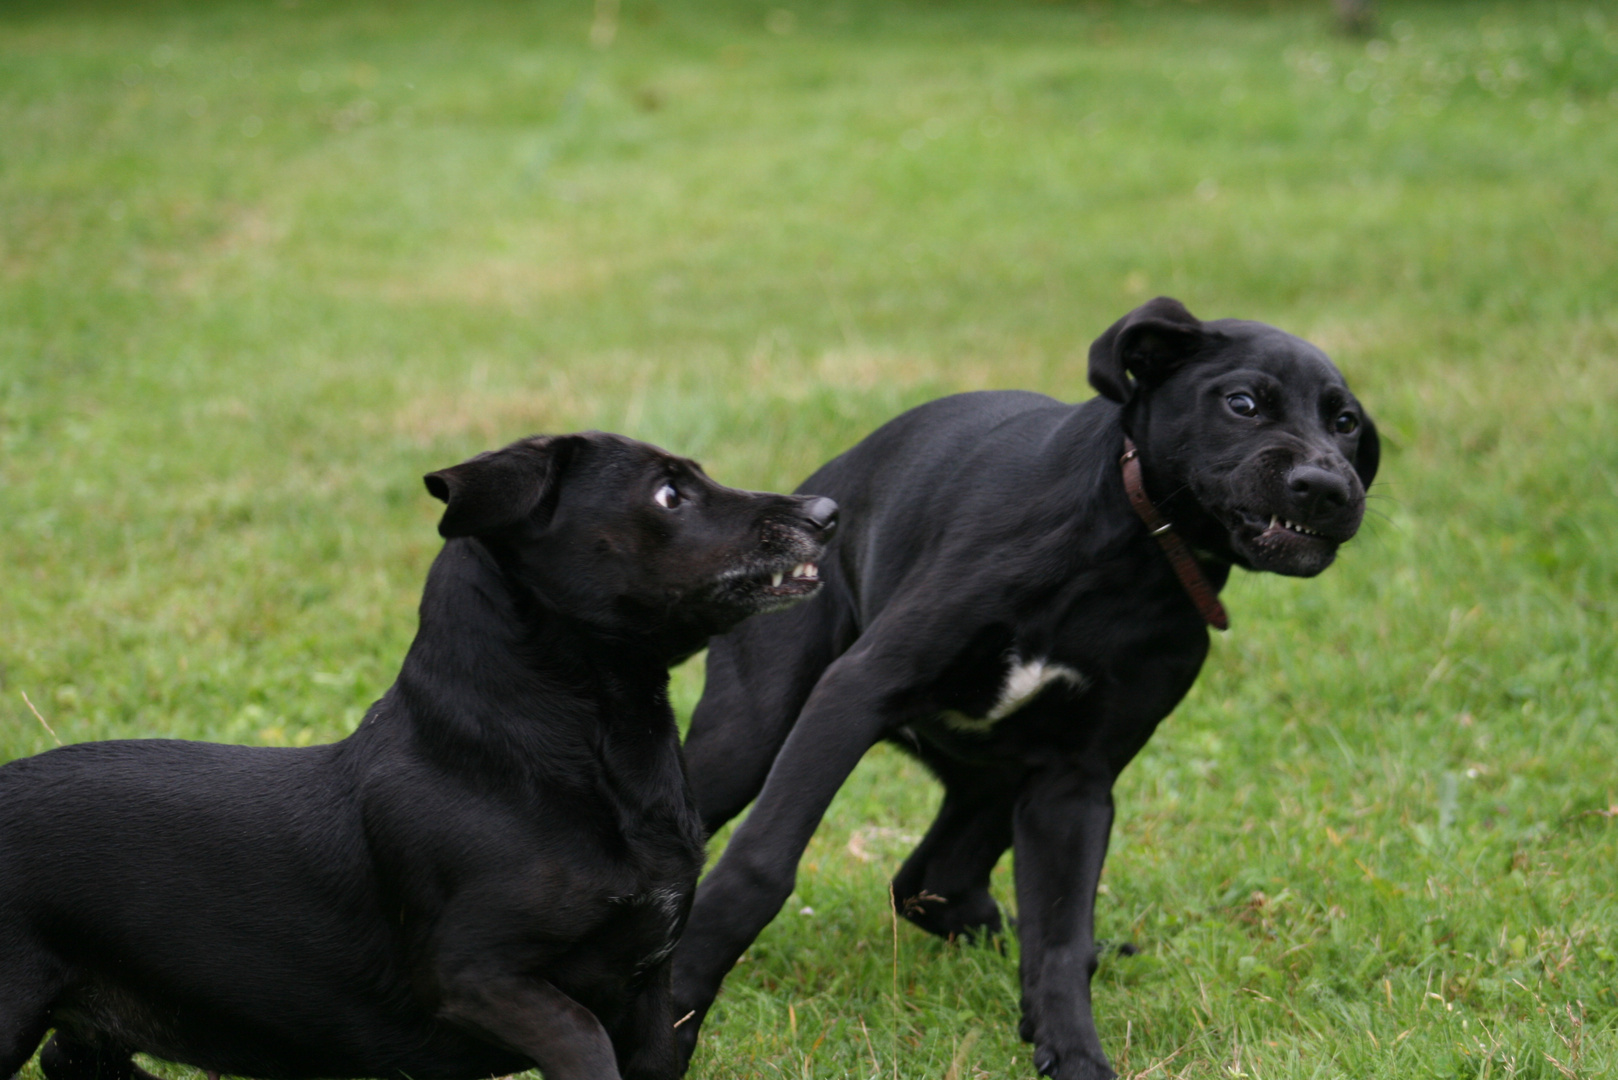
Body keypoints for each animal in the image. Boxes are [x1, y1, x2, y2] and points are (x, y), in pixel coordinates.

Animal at [669, 297, 1378, 1080]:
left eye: (1346, 423)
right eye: (1243, 403)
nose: (1328, 488)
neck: (1128, 553)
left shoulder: (1075, 781)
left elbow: (1062, 937)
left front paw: (1073, 1050)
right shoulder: (855, 692)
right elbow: (759, 867)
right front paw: (677, 1007)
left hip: (992, 782)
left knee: (928, 881)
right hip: (749, 736)